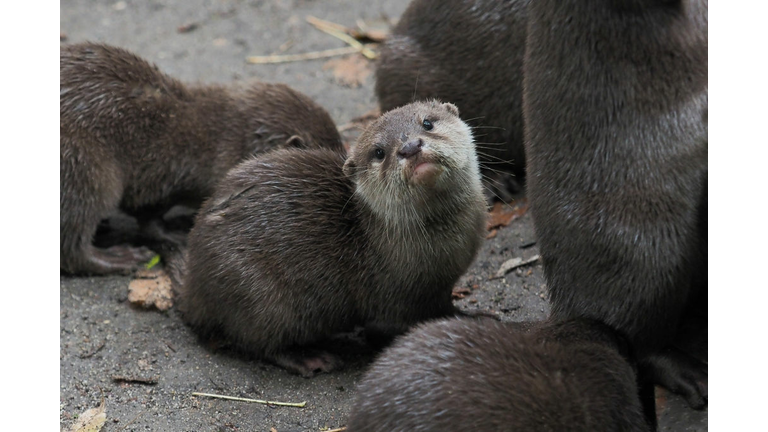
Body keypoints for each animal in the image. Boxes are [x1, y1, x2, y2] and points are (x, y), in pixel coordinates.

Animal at [60, 42, 343, 275]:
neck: (219, 140)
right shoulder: (161, 176)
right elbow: (147, 215)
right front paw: (176, 233)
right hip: (85, 167)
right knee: (72, 245)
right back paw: (121, 258)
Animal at [177, 101, 487, 376]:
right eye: (379, 152)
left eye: (427, 123)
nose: (410, 147)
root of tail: (194, 287)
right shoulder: (397, 297)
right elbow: (403, 322)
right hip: (258, 294)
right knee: (257, 341)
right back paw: (309, 358)